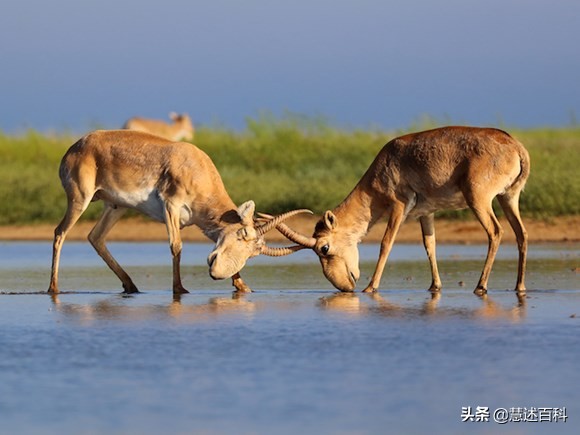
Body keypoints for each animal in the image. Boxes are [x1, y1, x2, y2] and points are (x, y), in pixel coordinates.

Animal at [48, 130, 310, 296]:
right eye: (242, 235)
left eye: (254, 253)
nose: (216, 274)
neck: (196, 167)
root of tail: (75, 147)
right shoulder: (170, 207)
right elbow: (176, 246)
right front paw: (180, 289)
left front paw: (244, 287)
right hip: (80, 199)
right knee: (60, 232)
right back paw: (54, 288)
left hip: (116, 206)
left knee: (95, 237)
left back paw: (131, 286)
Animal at [276, 126, 532, 296]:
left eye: (324, 248)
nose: (345, 288)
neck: (389, 159)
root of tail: (516, 148)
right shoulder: (426, 213)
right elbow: (430, 245)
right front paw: (434, 286)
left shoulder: (399, 206)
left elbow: (386, 243)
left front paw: (371, 287)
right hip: (508, 198)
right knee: (521, 233)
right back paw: (519, 286)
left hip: (479, 200)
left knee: (496, 232)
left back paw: (481, 286)